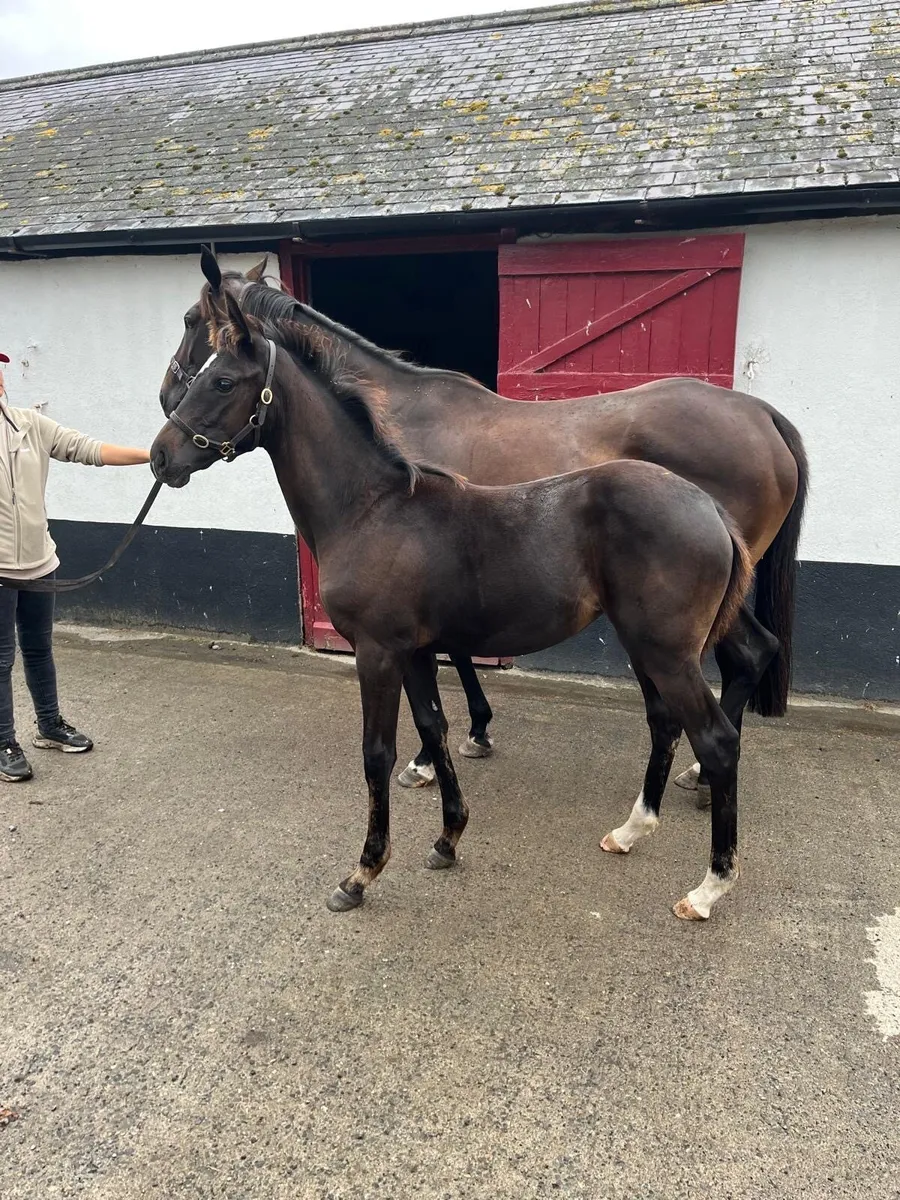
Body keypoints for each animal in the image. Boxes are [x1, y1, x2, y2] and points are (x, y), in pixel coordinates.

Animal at [150, 290, 756, 921]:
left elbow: (377, 753)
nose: (160, 456)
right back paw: (630, 832)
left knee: (716, 741)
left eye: (221, 380)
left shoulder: (377, 652)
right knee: (665, 724)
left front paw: (361, 873)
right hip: (646, 646)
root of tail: (710, 508)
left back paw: (708, 887)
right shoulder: (414, 652)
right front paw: (447, 839)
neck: (369, 508)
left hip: (668, 654)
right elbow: (434, 728)